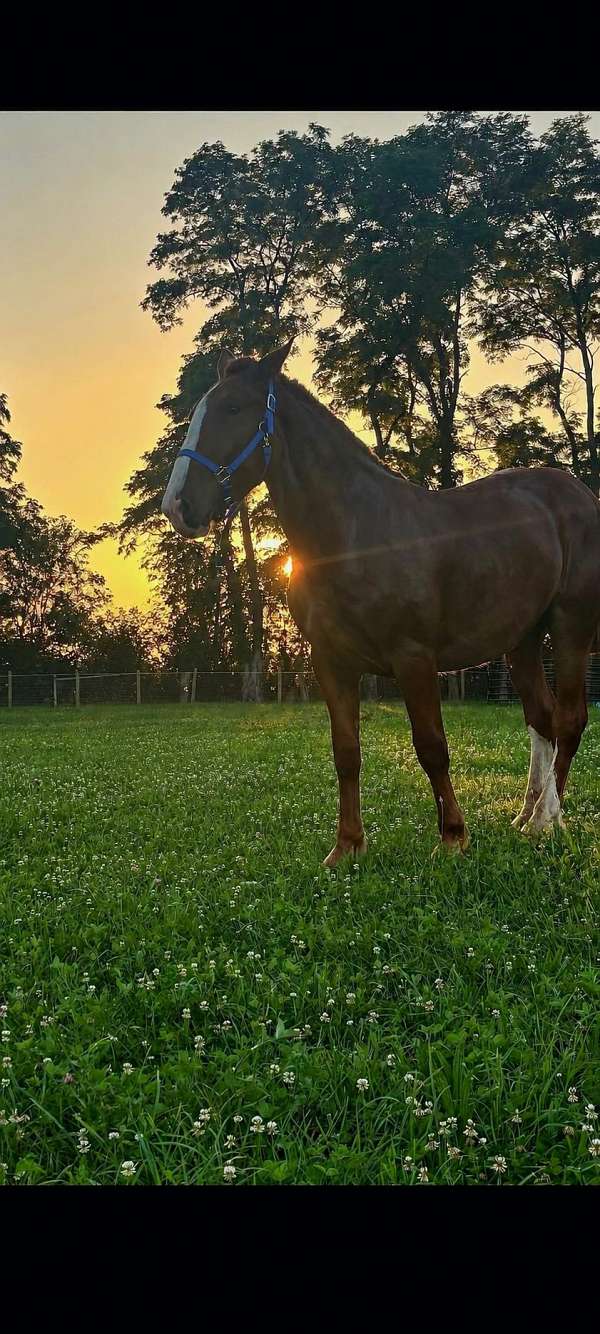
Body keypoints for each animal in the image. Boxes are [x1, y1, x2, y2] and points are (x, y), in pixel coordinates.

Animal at [161, 339, 600, 866]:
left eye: (232, 408)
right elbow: (346, 752)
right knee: (541, 720)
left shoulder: (413, 657)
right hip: (523, 640)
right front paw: (347, 846)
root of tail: (579, 494)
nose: (178, 507)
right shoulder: (331, 663)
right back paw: (527, 815)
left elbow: (431, 746)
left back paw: (546, 821)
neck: (352, 534)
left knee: (569, 720)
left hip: (571, 627)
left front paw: (452, 836)